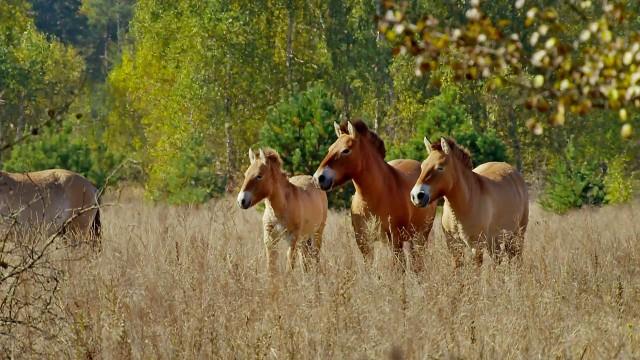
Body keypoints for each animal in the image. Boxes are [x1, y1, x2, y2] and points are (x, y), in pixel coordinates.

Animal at [312, 119, 438, 272]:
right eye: (330, 149)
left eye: (345, 150)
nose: (318, 178)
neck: (373, 197)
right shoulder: (364, 242)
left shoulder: (395, 239)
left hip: (420, 236)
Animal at [410, 138, 528, 268]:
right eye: (422, 166)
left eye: (440, 167)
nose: (417, 196)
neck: (466, 203)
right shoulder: (454, 246)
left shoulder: (476, 247)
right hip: (495, 241)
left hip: (518, 236)